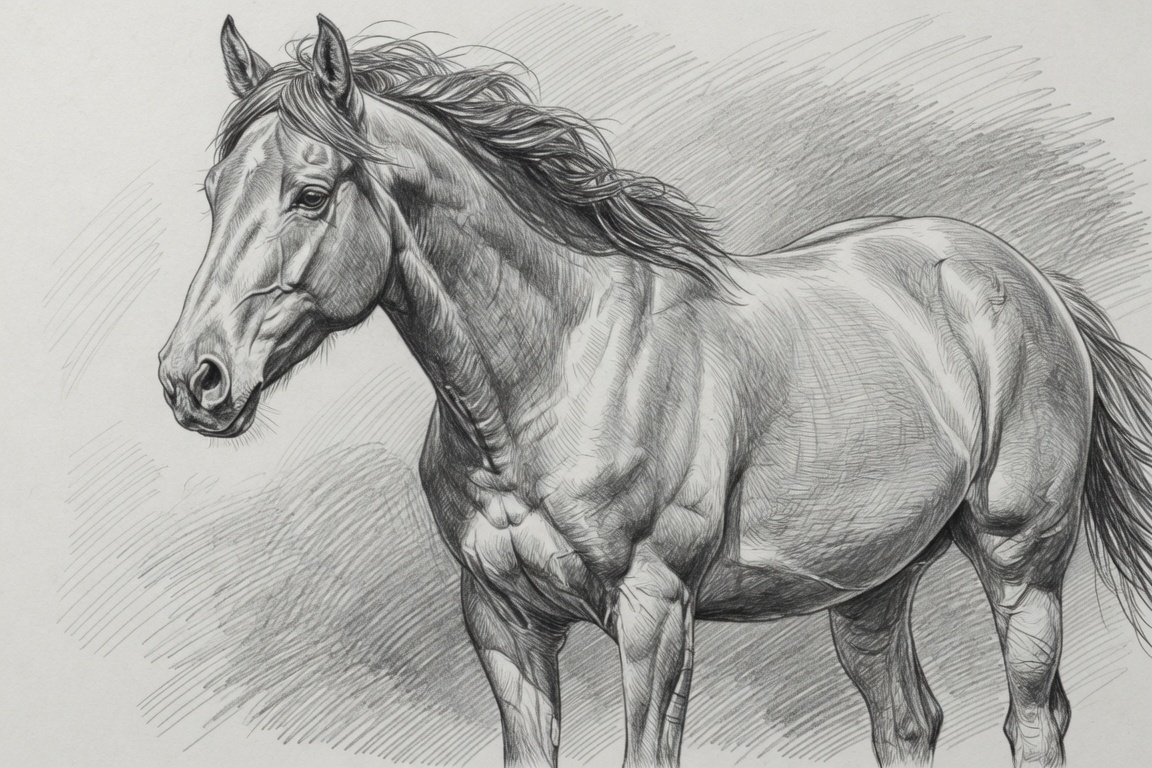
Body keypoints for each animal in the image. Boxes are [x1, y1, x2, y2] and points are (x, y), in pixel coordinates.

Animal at [158, 15, 1152, 768]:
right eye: (212, 190)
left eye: (311, 193)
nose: (192, 378)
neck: (561, 372)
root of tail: (1026, 278)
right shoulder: (506, 625)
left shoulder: (655, 619)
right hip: (872, 586)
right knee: (907, 721)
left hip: (1022, 565)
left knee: (1035, 719)